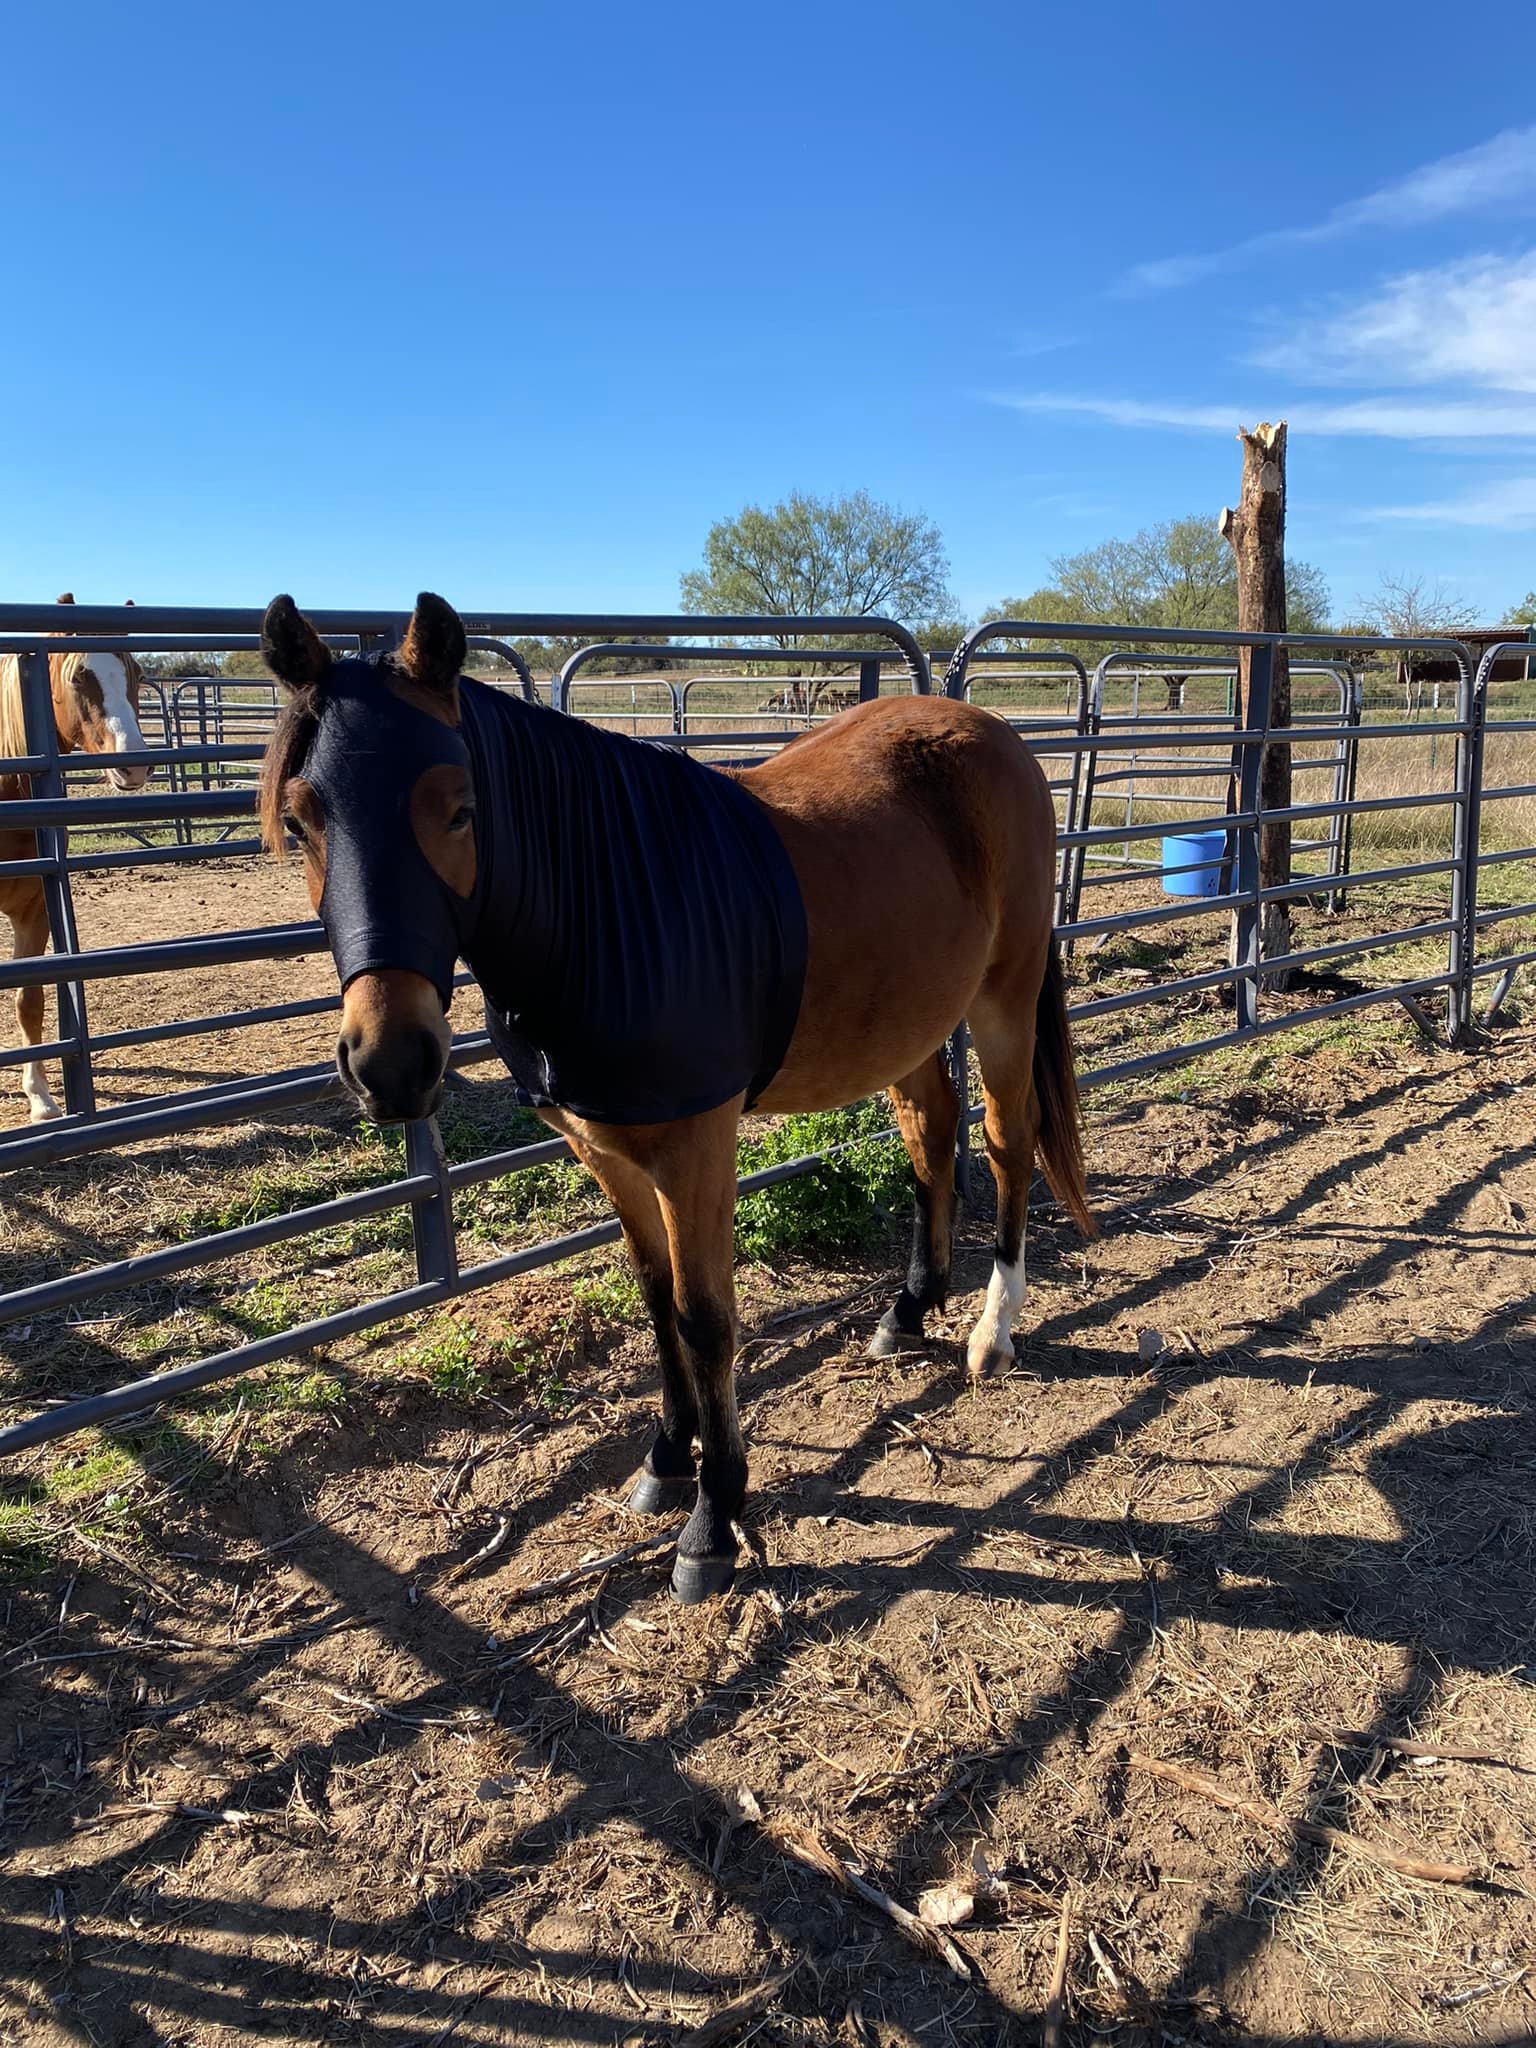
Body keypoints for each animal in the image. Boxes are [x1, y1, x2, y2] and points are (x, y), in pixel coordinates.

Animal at [1, 595, 149, 1120]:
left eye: (136, 672)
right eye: (78, 677)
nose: (133, 763)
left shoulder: (34, 909)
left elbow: (29, 999)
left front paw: (41, 1097)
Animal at [258, 592, 1095, 1603]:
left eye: (459, 811)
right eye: (301, 820)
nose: (391, 1064)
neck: (602, 914)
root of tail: (993, 733)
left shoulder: (696, 1150)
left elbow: (705, 1322)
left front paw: (713, 1519)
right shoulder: (605, 1149)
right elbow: (657, 1301)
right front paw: (664, 1461)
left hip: (1004, 999)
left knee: (1009, 1142)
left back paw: (992, 1330)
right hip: (911, 1023)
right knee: (932, 1136)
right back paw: (908, 1308)